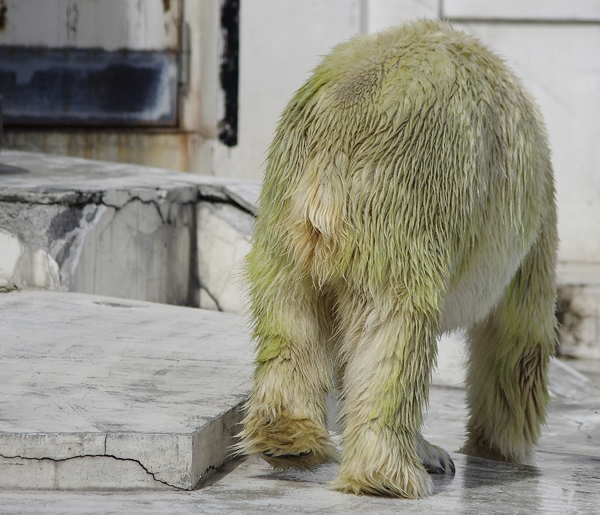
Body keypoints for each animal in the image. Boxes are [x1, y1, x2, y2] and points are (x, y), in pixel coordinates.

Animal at [236, 21, 556, 500]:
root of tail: (334, 149)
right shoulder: (531, 223)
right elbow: (517, 337)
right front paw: (497, 448)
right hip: (405, 205)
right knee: (393, 326)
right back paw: (389, 475)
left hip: (282, 209)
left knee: (290, 318)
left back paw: (289, 439)